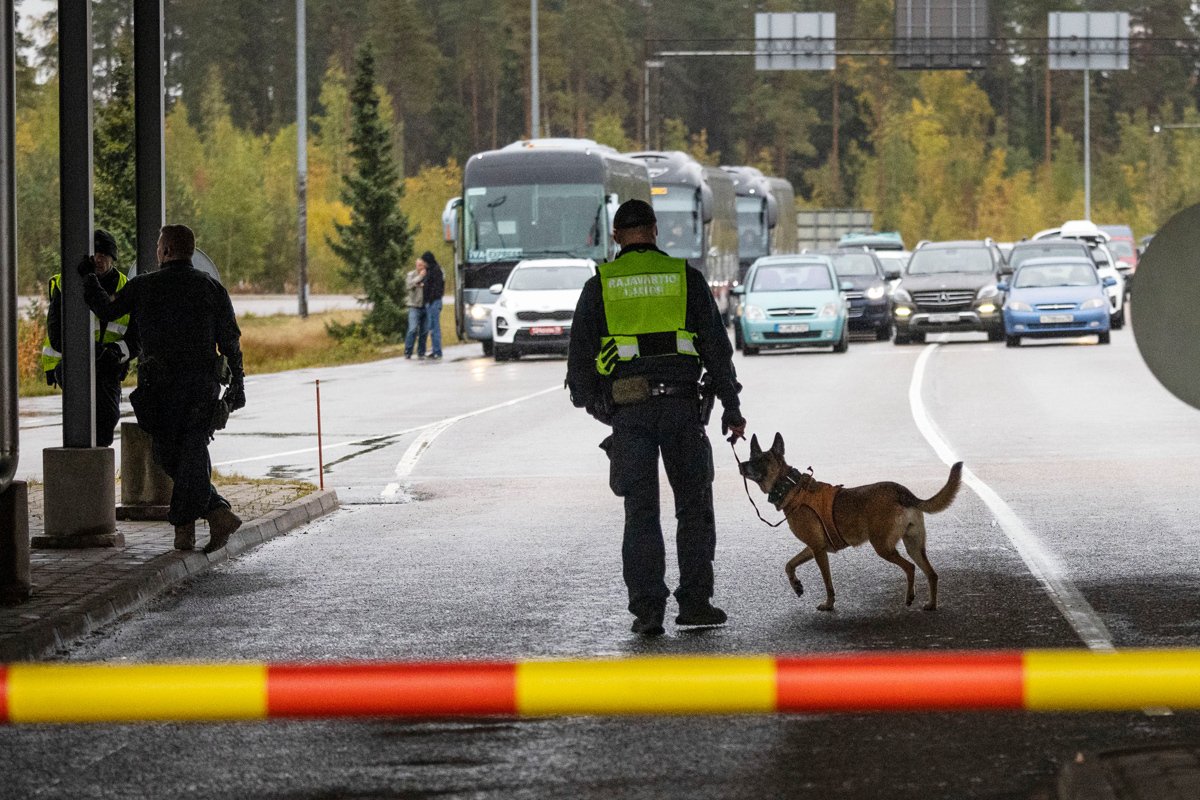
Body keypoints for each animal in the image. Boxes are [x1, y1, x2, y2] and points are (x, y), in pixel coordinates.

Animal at [734, 431, 960, 614]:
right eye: (751, 457)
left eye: (761, 460)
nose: (741, 465)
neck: (790, 487)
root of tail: (902, 491)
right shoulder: (813, 547)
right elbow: (789, 564)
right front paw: (796, 585)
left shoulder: (818, 550)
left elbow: (827, 582)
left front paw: (829, 604)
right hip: (914, 546)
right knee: (932, 574)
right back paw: (931, 604)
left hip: (883, 547)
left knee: (910, 568)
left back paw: (910, 596)